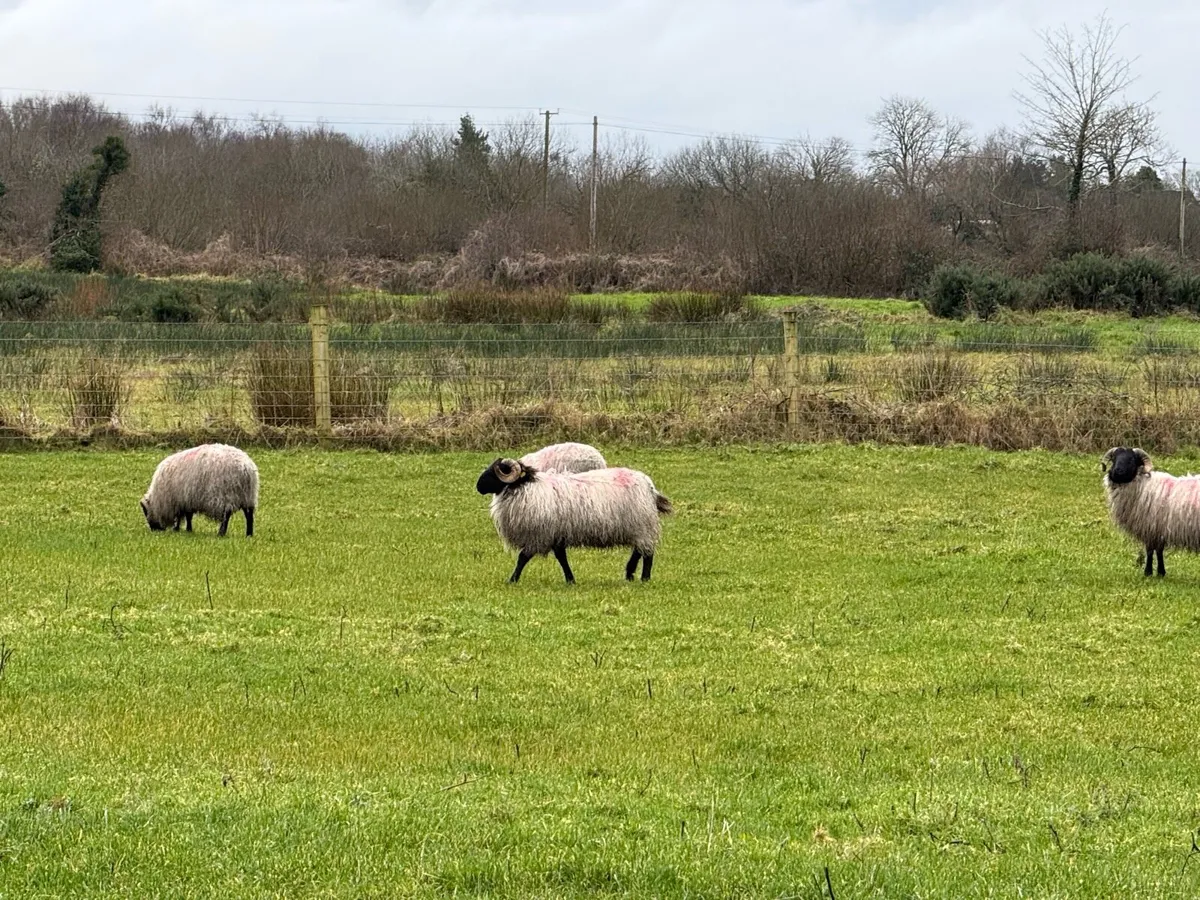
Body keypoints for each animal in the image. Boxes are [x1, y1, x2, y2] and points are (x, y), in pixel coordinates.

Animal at [475, 457, 672, 584]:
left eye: (494, 472)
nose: (478, 487)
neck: (525, 488)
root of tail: (649, 485)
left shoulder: (539, 535)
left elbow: (522, 558)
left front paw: (513, 579)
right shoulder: (556, 534)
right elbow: (562, 558)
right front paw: (570, 580)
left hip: (642, 524)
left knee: (647, 553)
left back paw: (644, 578)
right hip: (637, 526)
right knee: (639, 550)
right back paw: (630, 574)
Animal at [1101, 446, 1200, 576]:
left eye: (1131, 460)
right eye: (1114, 459)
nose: (1117, 471)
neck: (1143, 485)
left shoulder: (1151, 528)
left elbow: (1150, 551)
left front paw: (1148, 572)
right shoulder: (1158, 531)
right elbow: (1158, 551)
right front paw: (1160, 573)